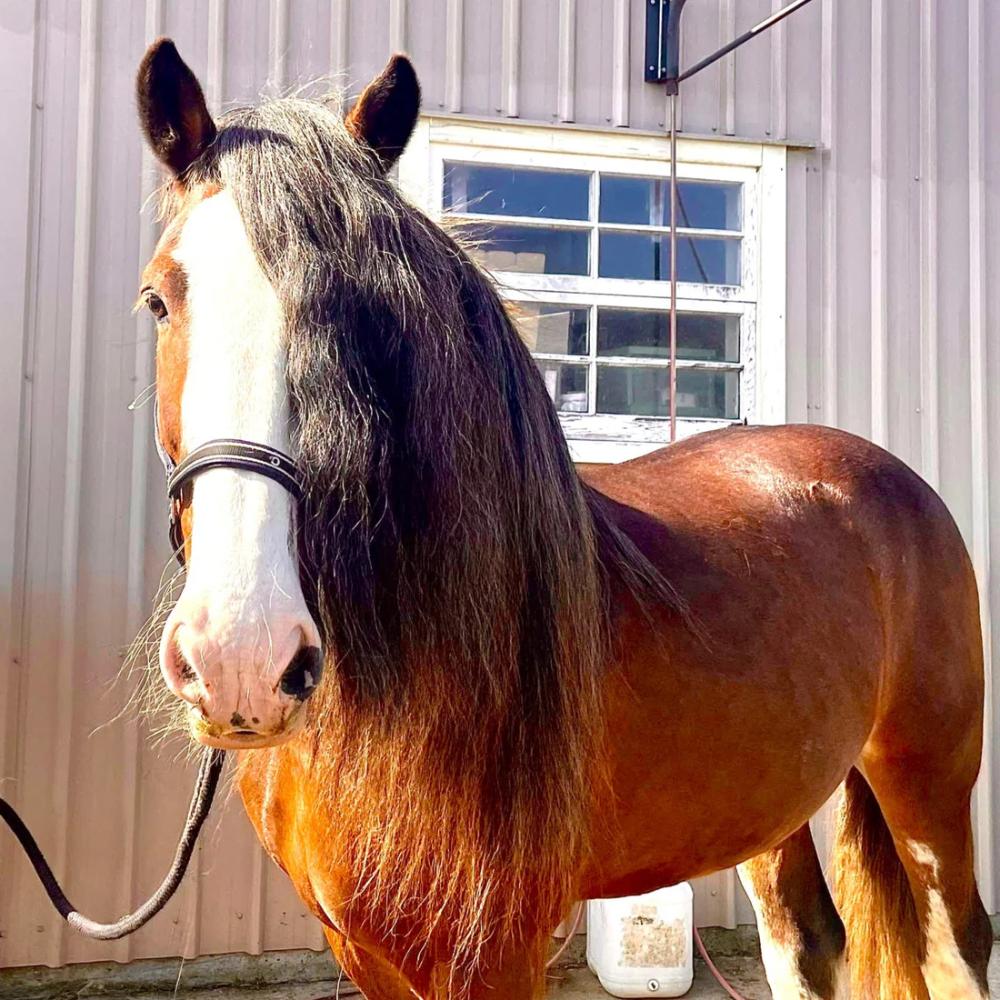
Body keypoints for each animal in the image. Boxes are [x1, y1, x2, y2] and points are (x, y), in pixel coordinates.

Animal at [134, 38, 992, 999]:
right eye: (159, 300)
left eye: (365, 313)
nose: (241, 659)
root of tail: (890, 477)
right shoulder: (360, 948)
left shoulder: (494, 951)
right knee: (807, 943)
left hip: (927, 780)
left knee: (957, 945)